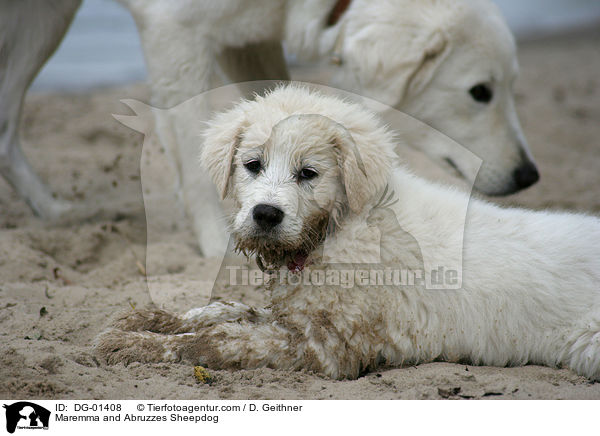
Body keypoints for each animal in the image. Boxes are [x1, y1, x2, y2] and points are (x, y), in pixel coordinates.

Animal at [0, 0, 536, 255]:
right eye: (480, 92)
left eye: (513, 85)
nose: (529, 176)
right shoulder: (174, 33)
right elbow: (195, 159)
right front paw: (217, 243)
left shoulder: (248, 37)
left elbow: (286, 105)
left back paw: (53, 210)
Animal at [95, 87, 600, 380]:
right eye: (253, 164)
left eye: (308, 173)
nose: (265, 214)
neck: (336, 230)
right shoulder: (299, 313)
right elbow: (226, 312)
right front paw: (152, 321)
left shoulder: (326, 346)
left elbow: (215, 341)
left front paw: (135, 343)